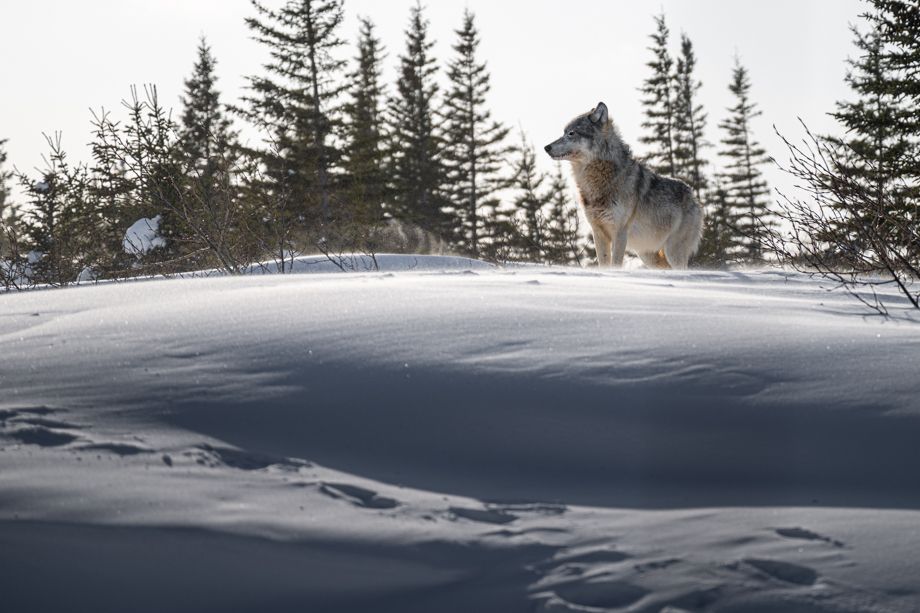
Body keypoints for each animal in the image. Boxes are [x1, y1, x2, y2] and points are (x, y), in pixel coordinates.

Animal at [545, 102, 703, 269]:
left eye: (571, 133)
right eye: (564, 132)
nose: (546, 147)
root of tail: (693, 196)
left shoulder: (620, 232)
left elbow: (615, 263)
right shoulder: (598, 232)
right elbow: (603, 263)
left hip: (673, 252)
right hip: (648, 255)